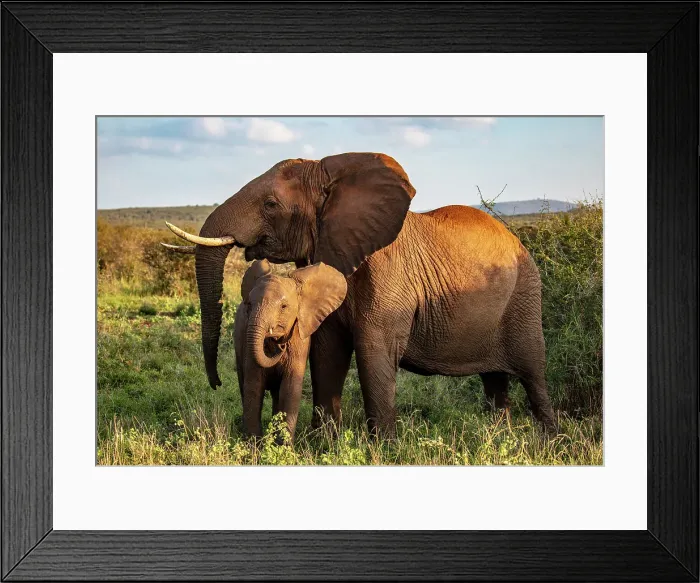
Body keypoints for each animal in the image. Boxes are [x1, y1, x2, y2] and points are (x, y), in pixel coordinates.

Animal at [233, 258, 347, 441]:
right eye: (249, 304)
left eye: (284, 307)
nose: (281, 346)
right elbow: (253, 386)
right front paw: (252, 445)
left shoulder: (299, 340)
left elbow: (290, 389)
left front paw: (282, 446)